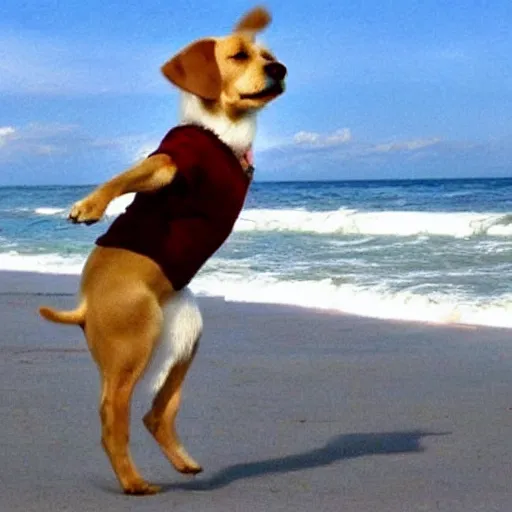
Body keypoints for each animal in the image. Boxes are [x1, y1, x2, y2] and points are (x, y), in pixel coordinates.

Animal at [39, 7, 288, 496]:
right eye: (238, 55)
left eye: (269, 56)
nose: (280, 70)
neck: (222, 131)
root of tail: (84, 304)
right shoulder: (172, 162)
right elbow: (129, 174)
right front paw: (91, 206)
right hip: (133, 346)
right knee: (111, 418)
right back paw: (133, 482)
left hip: (184, 335)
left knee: (156, 413)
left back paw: (182, 462)